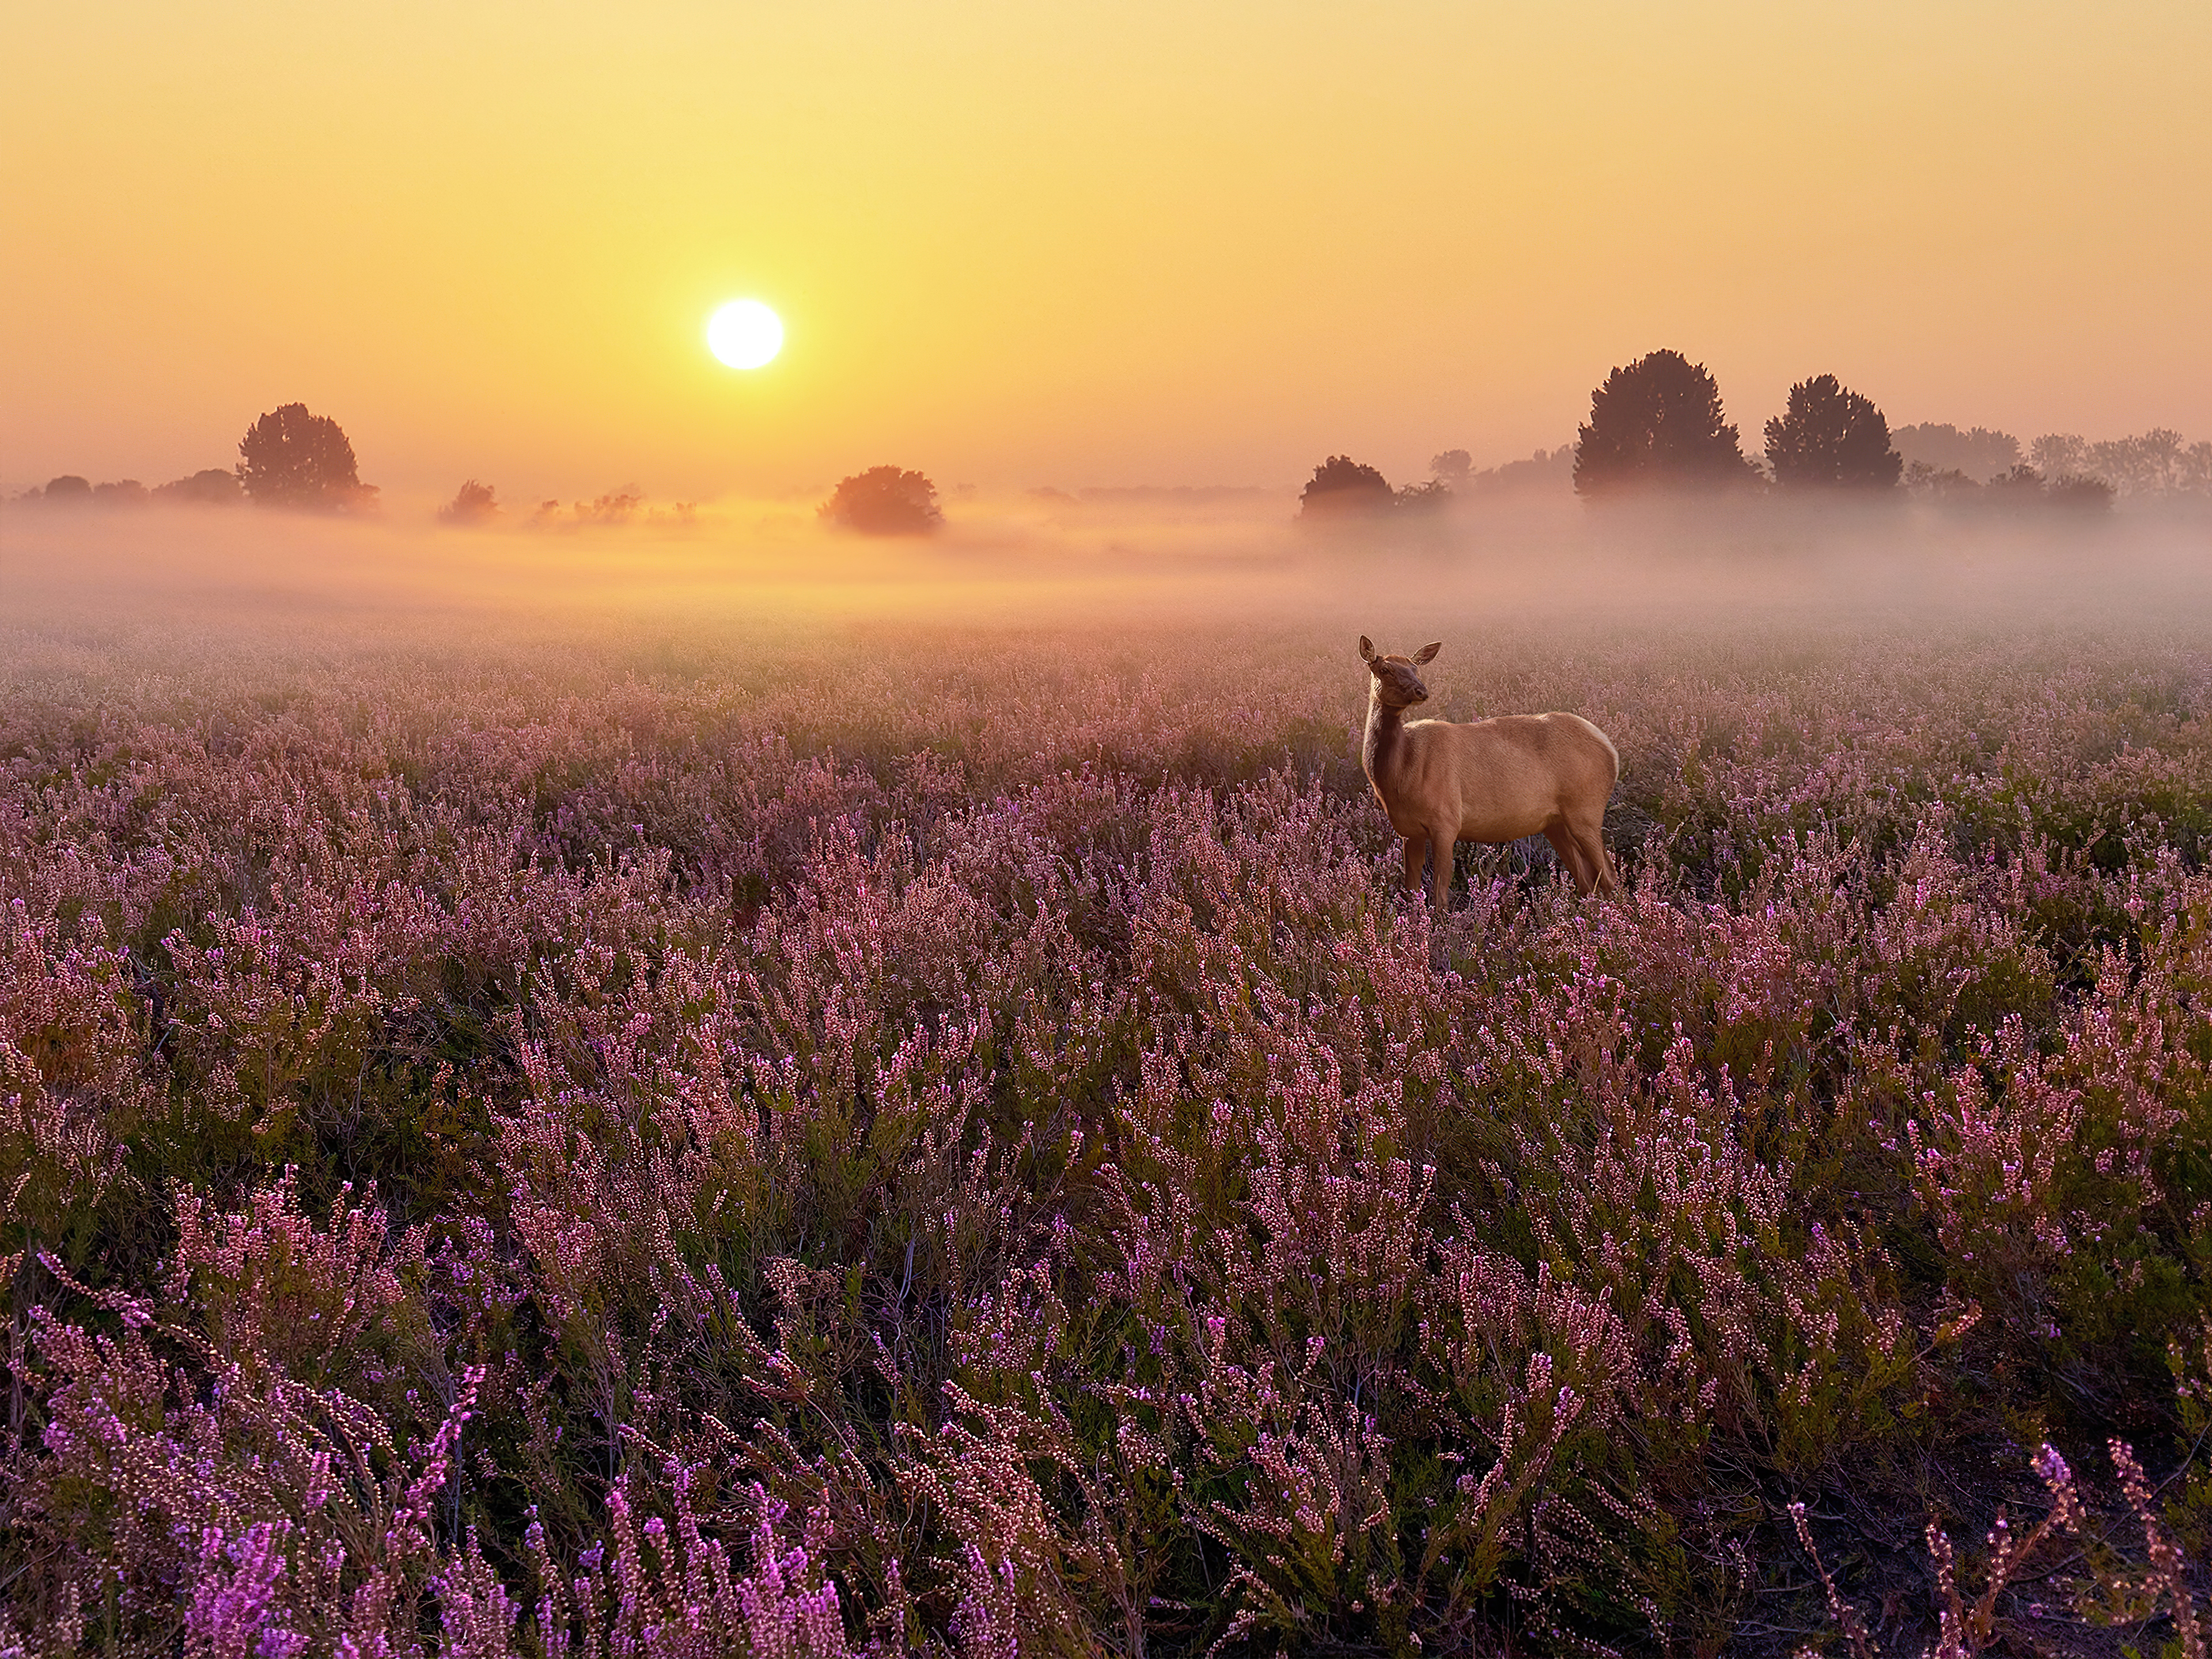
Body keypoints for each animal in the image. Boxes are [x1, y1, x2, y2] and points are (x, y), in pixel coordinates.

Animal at [1359, 636, 1620, 905]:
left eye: (1415, 668)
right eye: (1385, 669)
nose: (1421, 691)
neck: (1399, 779)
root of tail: (1611, 750)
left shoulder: (1446, 819)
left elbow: (1440, 898)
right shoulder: (1407, 831)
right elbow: (1411, 893)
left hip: (1585, 807)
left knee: (1608, 873)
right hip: (1555, 822)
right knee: (1586, 877)